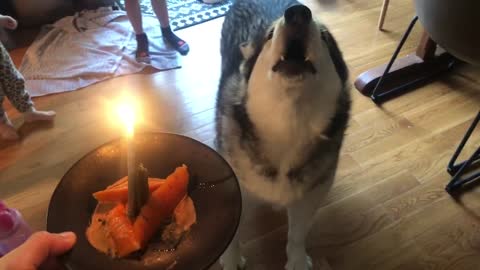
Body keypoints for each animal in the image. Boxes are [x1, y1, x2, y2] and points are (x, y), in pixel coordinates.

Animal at [216, 0, 350, 268]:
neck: (288, 125)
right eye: (269, 35)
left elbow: (297, 234)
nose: (298, 14)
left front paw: (296, 259)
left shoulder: (312, 193)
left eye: (325, 37)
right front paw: (232, 258)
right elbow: (232, 231)